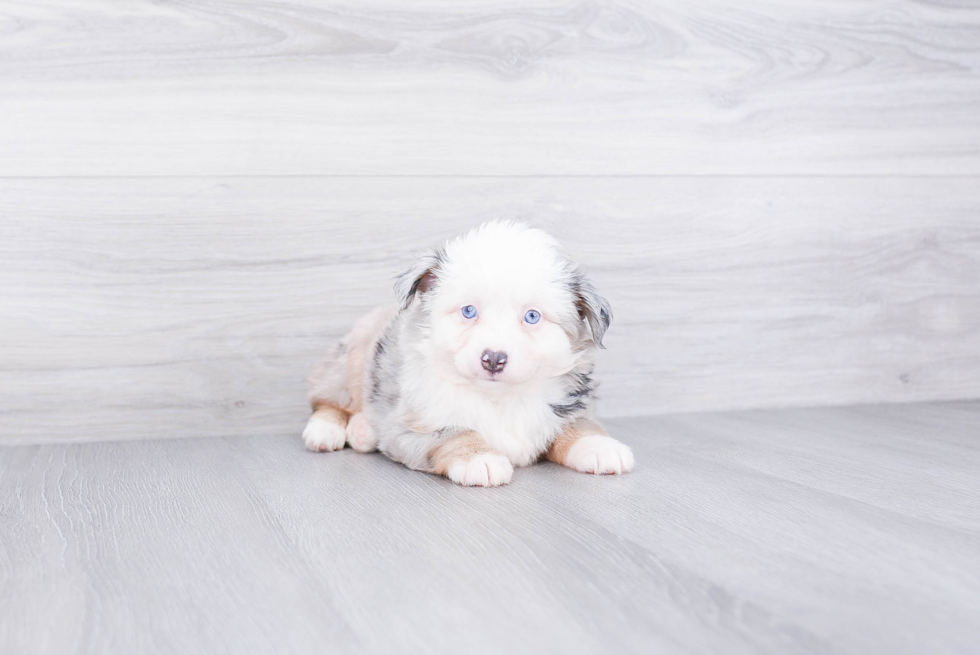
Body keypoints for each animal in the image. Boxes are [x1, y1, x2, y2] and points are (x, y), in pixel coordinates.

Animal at [302, 222, 632, 486]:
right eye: (469, 311)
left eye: (532, 317)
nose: (494, 359)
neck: (498, 398)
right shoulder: (412, 427)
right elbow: (455, 432)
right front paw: (479, 458)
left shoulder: (569, 407)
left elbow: (579, 426)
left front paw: (600, 447)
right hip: (349, 363)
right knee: (327, 402)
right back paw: (327, 431)